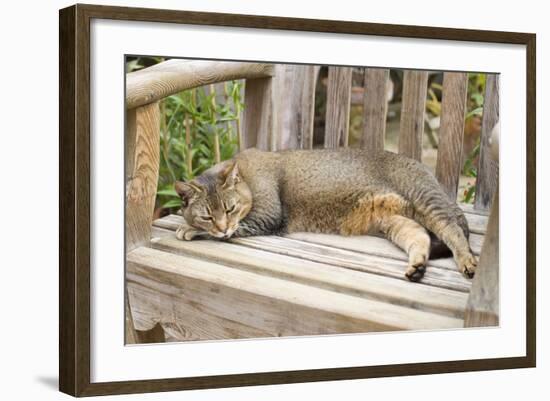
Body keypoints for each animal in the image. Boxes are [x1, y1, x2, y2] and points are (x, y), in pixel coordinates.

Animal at [175, 147, 476, 282]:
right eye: (208, 215)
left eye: (230, 208)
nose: (221, 225)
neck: (247, 177)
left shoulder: (268, 216)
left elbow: (233, 230)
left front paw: (188, 229)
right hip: (395, 220)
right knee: (420, 236)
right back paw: (417, 267)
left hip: (425, 199)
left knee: (452, 230)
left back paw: (467, 262)